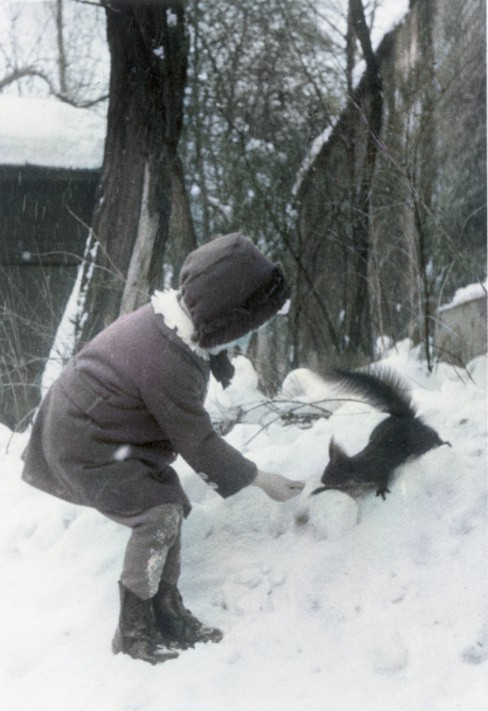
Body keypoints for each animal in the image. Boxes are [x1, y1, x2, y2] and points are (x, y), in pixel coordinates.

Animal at [310, 368, 452, 500]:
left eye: (332, 472)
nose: (322, 480)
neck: (355, 467)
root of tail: (404, 417)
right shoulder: (350, 485)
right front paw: (318, 490)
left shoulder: (377, 468)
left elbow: (383, 477)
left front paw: (382, 490)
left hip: (419, 439)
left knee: (432, 436)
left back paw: (444, 443)